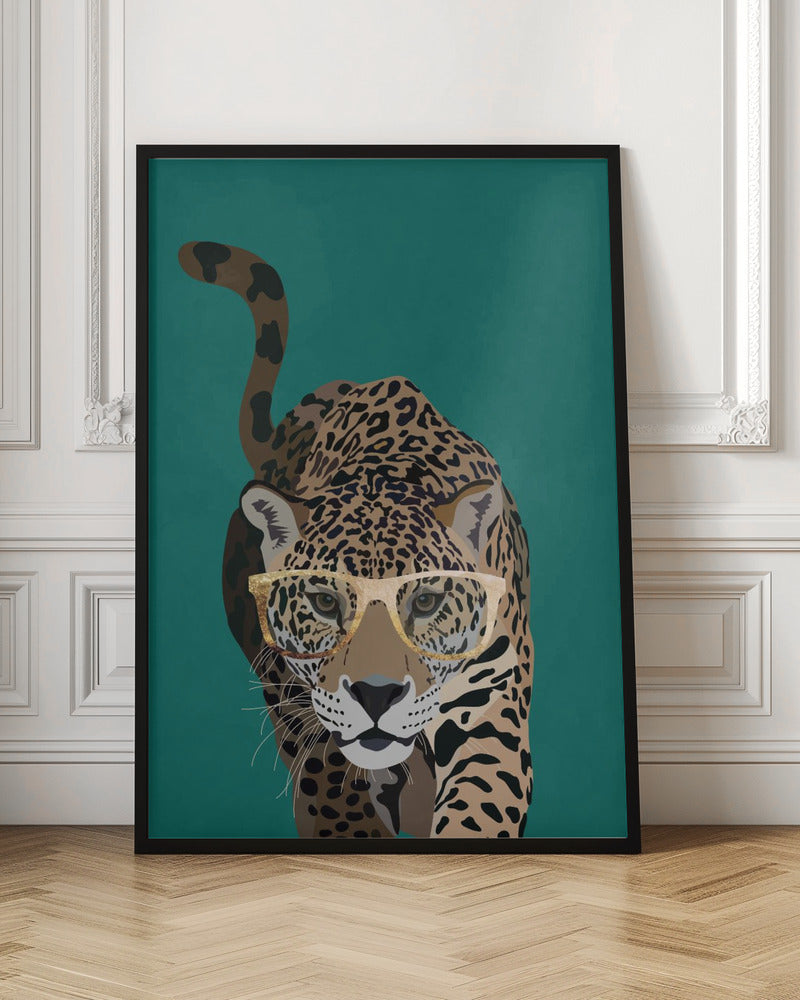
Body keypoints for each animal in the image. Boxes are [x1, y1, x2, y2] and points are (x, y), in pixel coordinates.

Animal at [179, 240, 534, 839]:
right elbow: (335, 798)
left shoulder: (490, 702)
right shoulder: (305, 711)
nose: (376, 694)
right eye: (324, 602)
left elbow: (481, 804)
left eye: (426, 601)